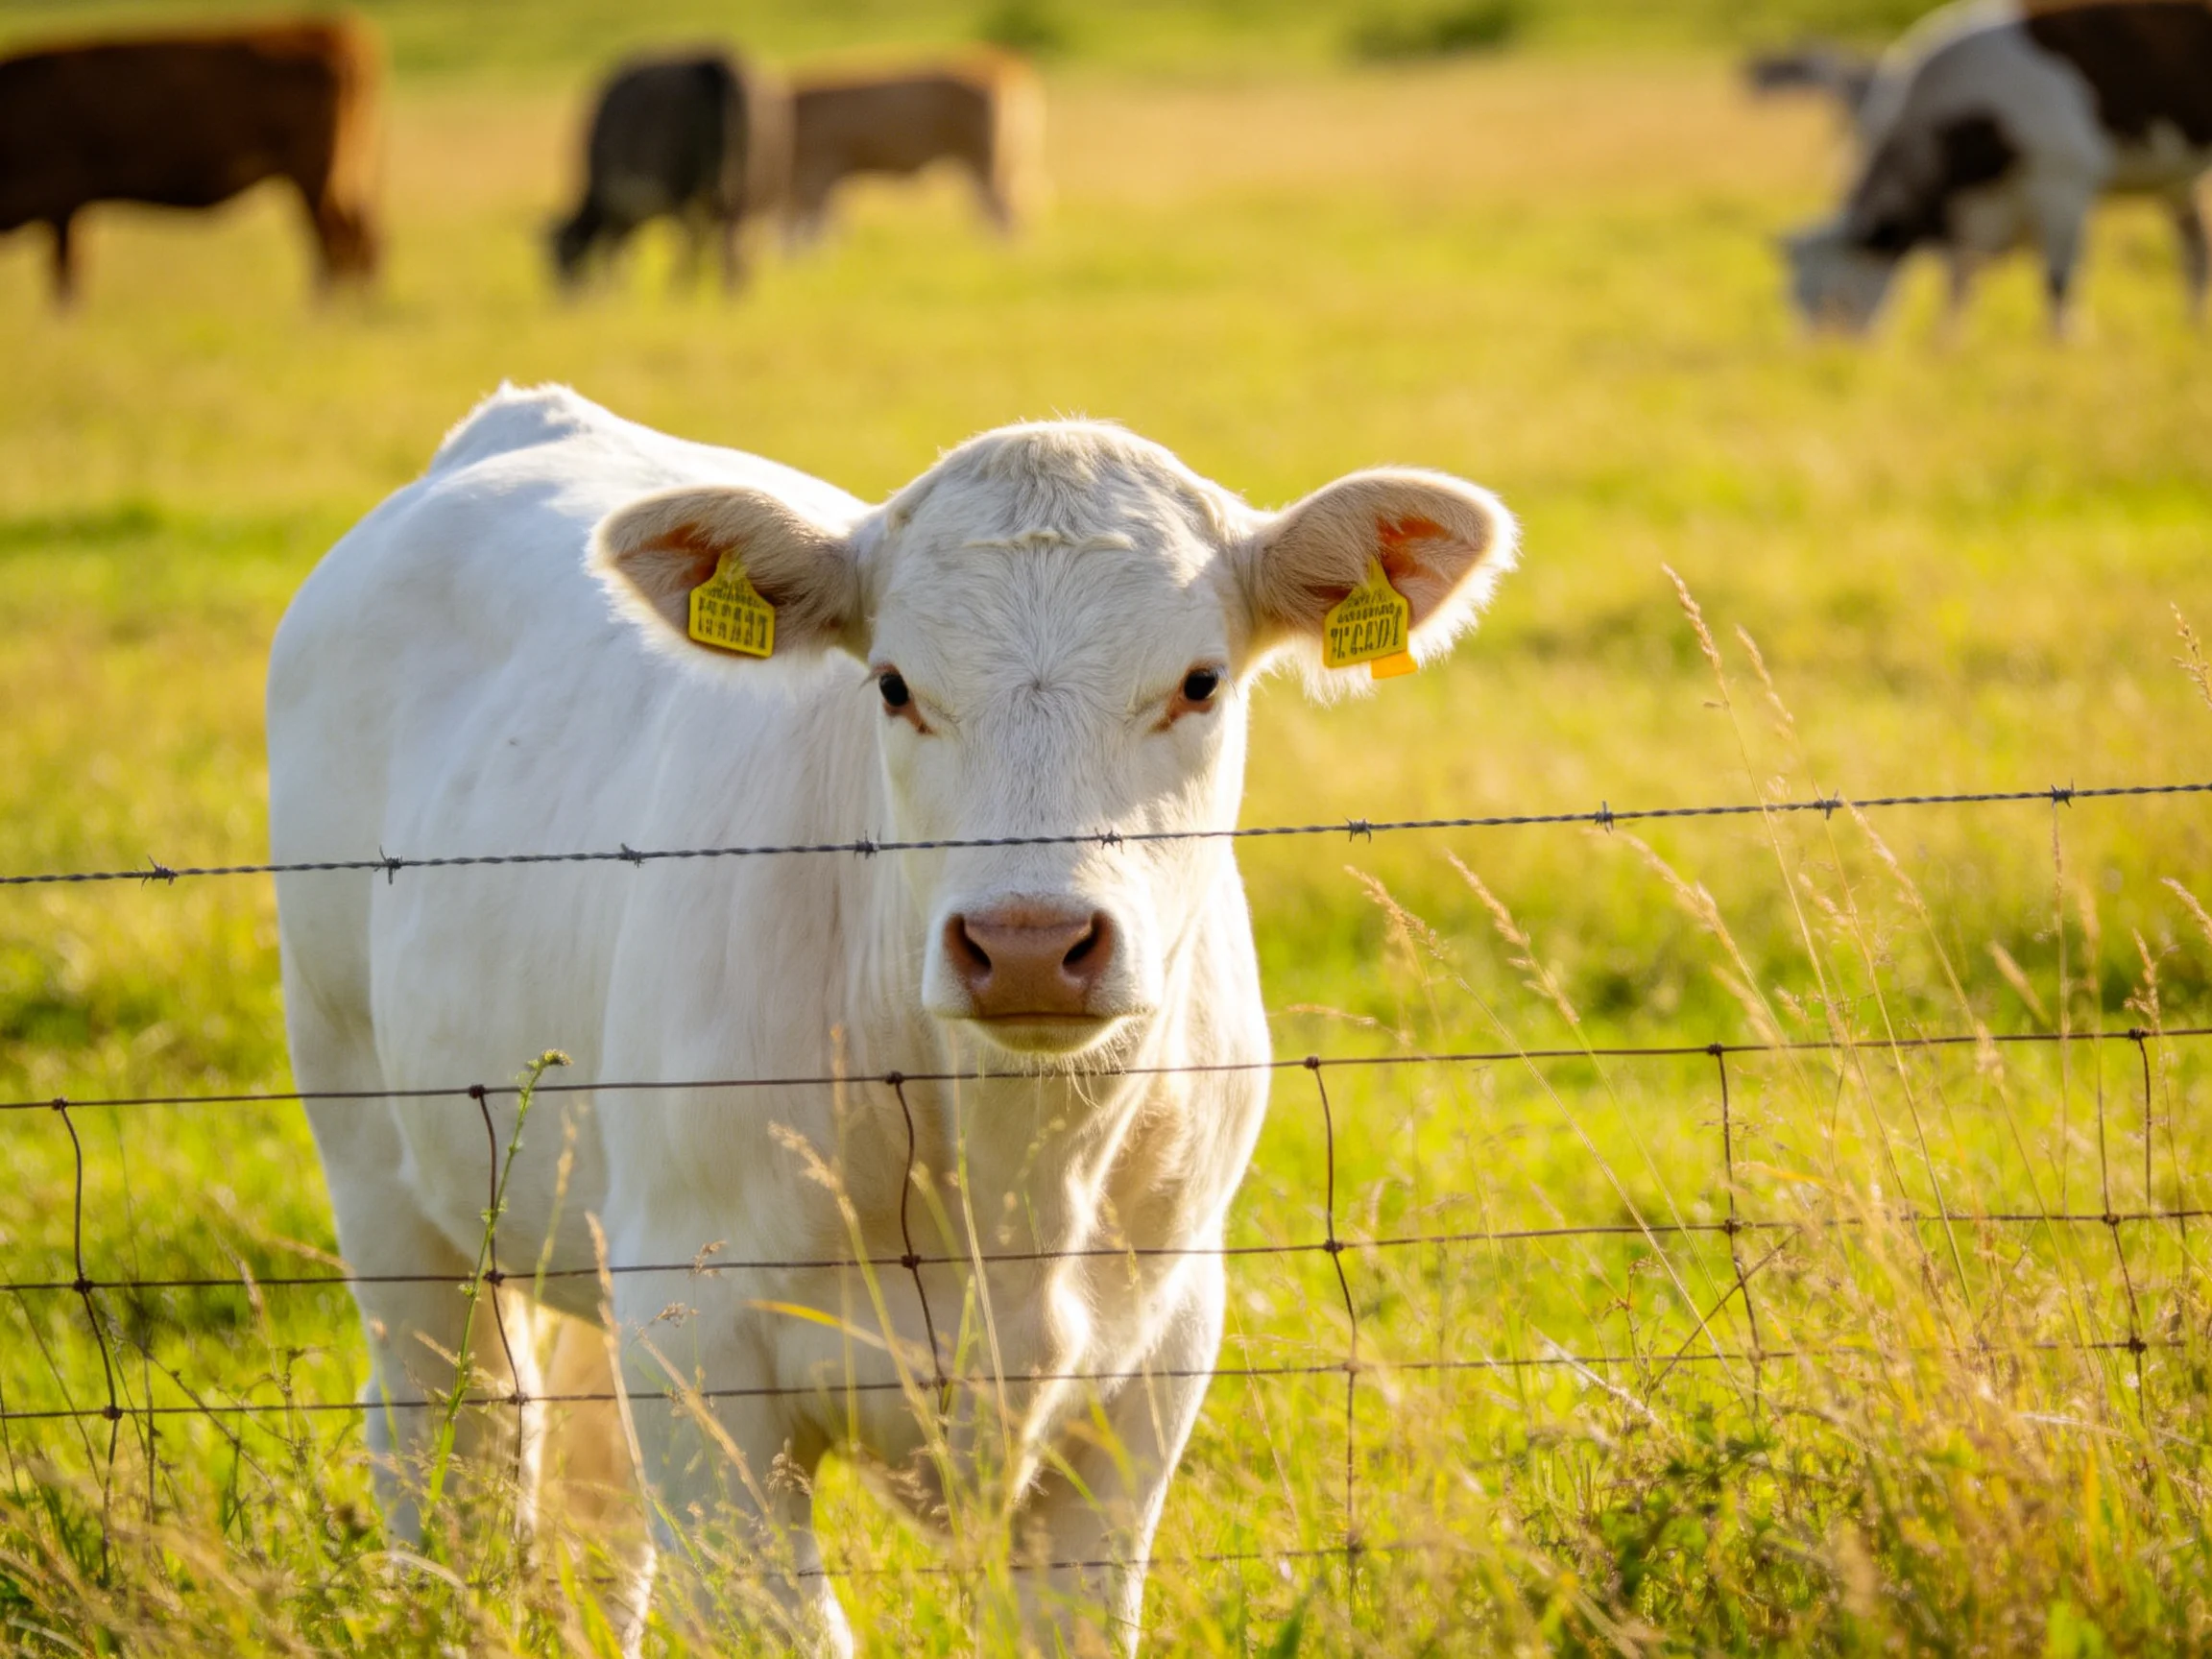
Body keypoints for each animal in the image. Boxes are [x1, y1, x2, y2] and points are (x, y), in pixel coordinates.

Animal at [267, 383, 1516, 1653]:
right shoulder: (702, 1351)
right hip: (379, 1163)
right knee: (454, 1445)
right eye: (894, 685)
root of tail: (519, 420)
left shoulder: (1151, 1363)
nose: (1028, 942)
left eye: (1201, 682)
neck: (1013, 1188)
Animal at [550, 51, 789, 292]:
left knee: (702, 248)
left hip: (691, 198)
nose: (565, 293)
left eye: (563, 254)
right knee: (731, 250)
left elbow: (616, 257)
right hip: (739, 199)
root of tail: (714, 66)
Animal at [786, 52, 1045, 245]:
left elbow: (813, 232)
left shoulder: (817, 175)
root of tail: (1002, 66)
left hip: (986, 164)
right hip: (998, 166)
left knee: (1004, 216)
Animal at [1781, 0, 2212, 336]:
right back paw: (2191, 327)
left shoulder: (2063, 182)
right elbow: (1958, 285)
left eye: (1835, 300)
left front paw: (2062, 348)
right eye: (1794, 301)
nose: (1823, 359)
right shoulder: (1972, 212)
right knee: (2195, 254)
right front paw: (1946, 347)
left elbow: (2058, 281)